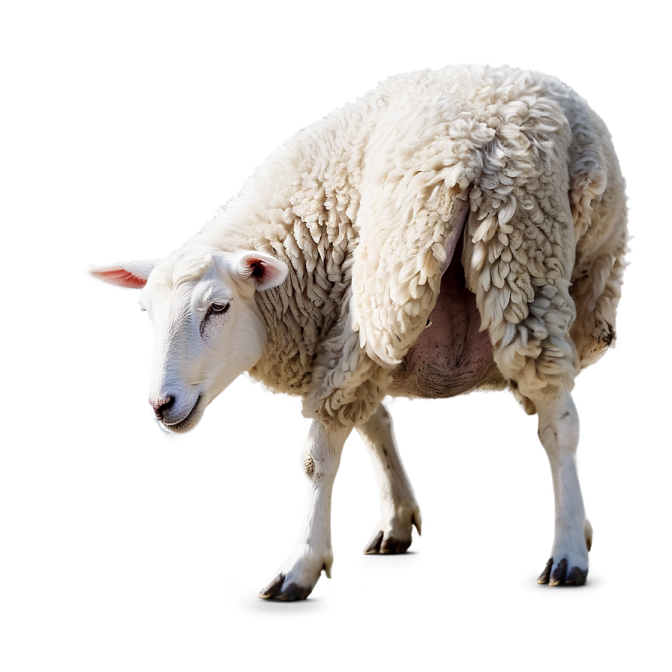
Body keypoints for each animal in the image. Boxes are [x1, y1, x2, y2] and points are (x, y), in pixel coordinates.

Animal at [83, 63, 631, 598]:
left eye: (218, 308)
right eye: (148, 314)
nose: (161, 404)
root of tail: (497, 129)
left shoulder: (351, 320)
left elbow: (318, 457)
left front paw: (300, 567)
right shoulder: (346, 333)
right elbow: (375, 422)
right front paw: (398, 521)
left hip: (480, 262)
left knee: (559, 423)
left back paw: (568, 556)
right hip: (549, 266)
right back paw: (578, 528)